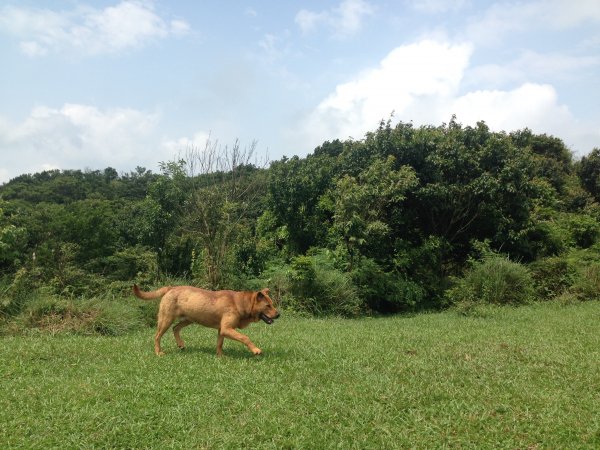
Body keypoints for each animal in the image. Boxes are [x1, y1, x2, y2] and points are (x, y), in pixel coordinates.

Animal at [132, 284, 280, 356]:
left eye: (272, 304)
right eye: (268, 306)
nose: (279, 314)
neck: (242, 303)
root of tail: (171, 288)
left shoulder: (222, 330)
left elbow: (219, 343)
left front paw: (220, 356)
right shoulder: (227, 328)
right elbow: (245, 337)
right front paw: (256, 350)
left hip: (189, 319)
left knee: (176, 328)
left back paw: (181, 344)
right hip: (166, 319)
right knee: (157, 336)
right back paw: (158, 352)